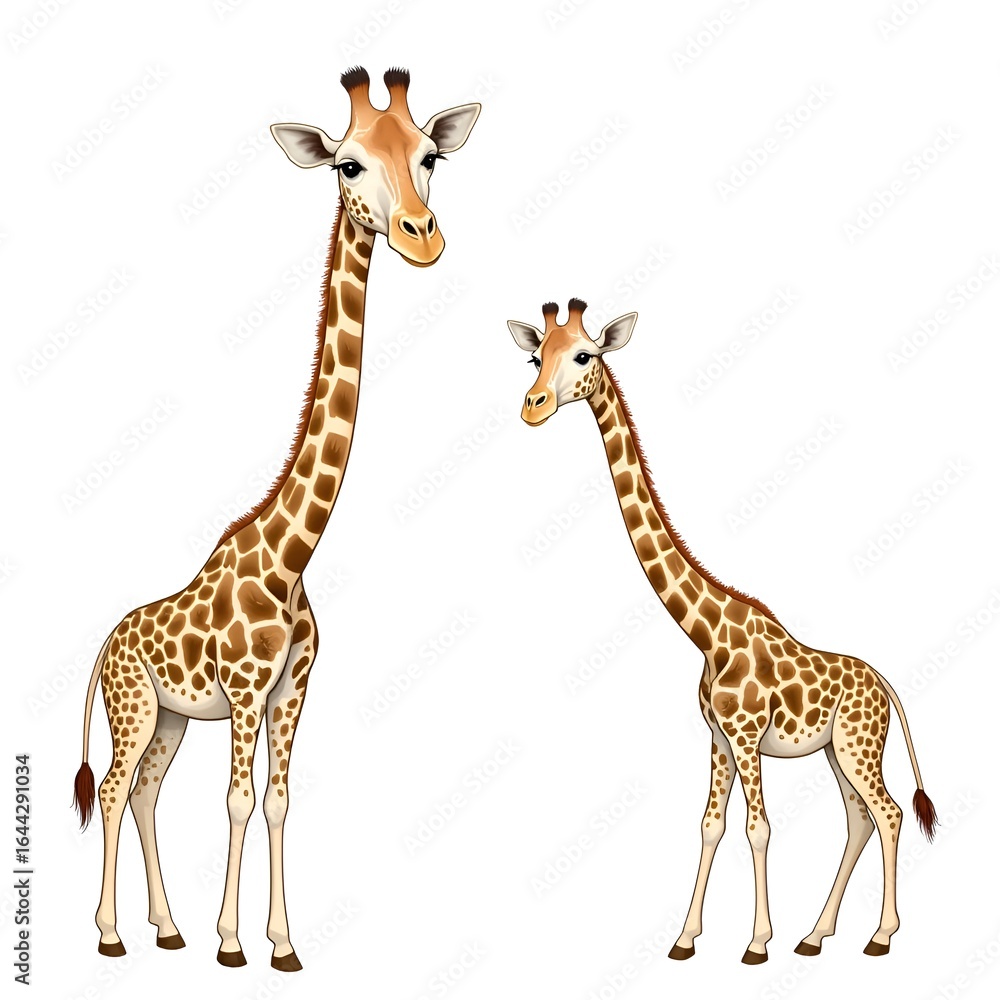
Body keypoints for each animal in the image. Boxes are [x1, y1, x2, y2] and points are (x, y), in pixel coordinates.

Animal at [72, 67, 480, 971]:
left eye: (431, 155)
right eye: (348, 165)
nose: (422, 238)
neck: (290, 558)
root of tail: (106, 645)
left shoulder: (294, 688)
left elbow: (280, 799)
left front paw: (282, 943)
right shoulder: (248, 691)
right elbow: (235, 800)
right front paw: (233, 944)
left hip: (170, 720)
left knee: (145, 791)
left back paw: (166, 928)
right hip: (135, 706)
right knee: (113, 789)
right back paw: (113, 935)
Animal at [508, 299, 938, 964]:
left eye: (583, 355)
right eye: (535, 357)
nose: (532, 406)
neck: (708, 633)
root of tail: (885, 685)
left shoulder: (745, 736)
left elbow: (758, 828)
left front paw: (757, 942)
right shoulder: (716, 737)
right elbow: (710, 824)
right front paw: (686, 938)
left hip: (857, 746)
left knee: (888, 814)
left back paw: (880, 935)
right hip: (838, 751)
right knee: (860, 818)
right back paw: (816, 934)